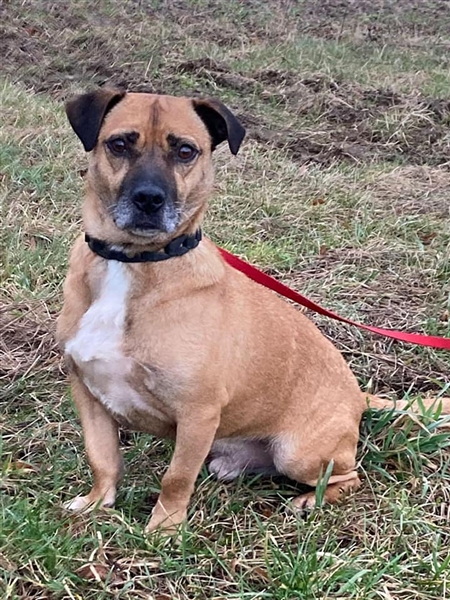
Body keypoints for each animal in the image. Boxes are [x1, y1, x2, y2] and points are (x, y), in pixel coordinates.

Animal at [57, 88, 450, 533]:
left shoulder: (198, 413)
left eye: (186, 151)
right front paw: (97, 503)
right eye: (120, 144)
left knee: (350, 476)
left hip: (297, 452)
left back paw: (308, 501)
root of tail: (356, 395)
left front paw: (164, 529)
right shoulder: (87, 392)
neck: (133, 261)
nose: (149, 200)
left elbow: (176, 477)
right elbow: (102, 458)